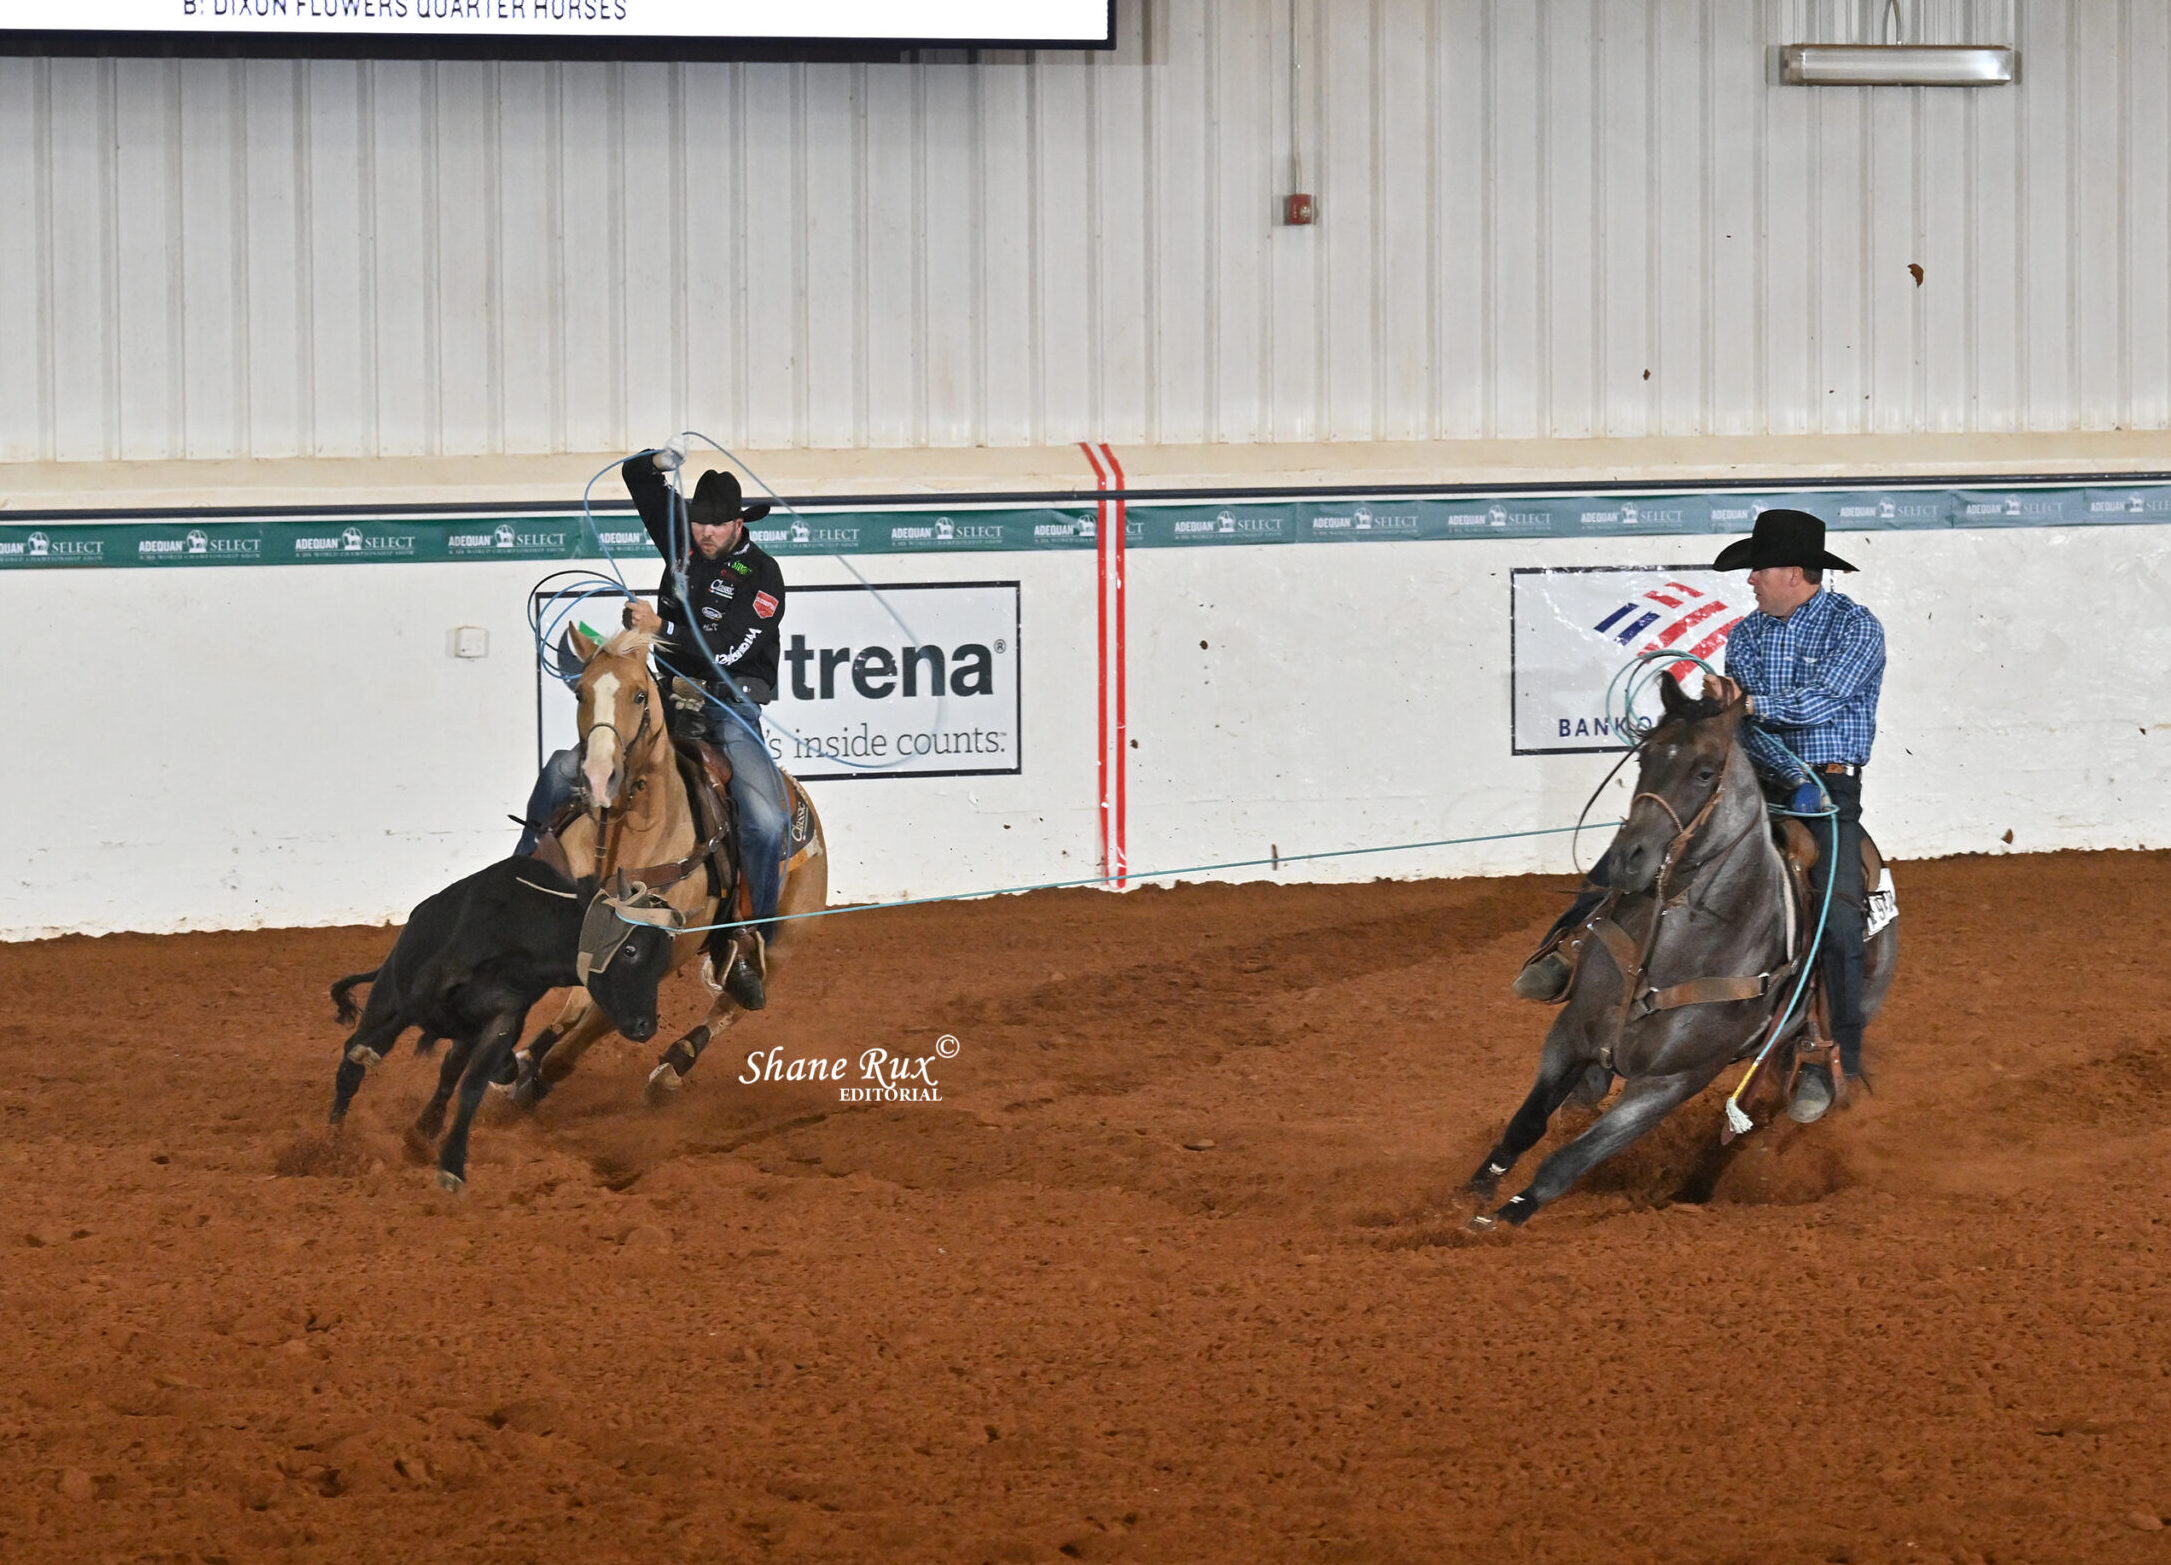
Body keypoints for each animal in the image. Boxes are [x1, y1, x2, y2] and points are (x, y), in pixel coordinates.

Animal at [503, 625, 824, 1111]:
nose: (599, 775)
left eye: (639, 695)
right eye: (580, 692)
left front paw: (540, 1080)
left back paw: (674, 1064)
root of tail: (801, 801)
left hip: (785, 937)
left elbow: (592, 1026)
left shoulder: (665, 952)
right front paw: (516, 1064)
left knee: (730, 1005)